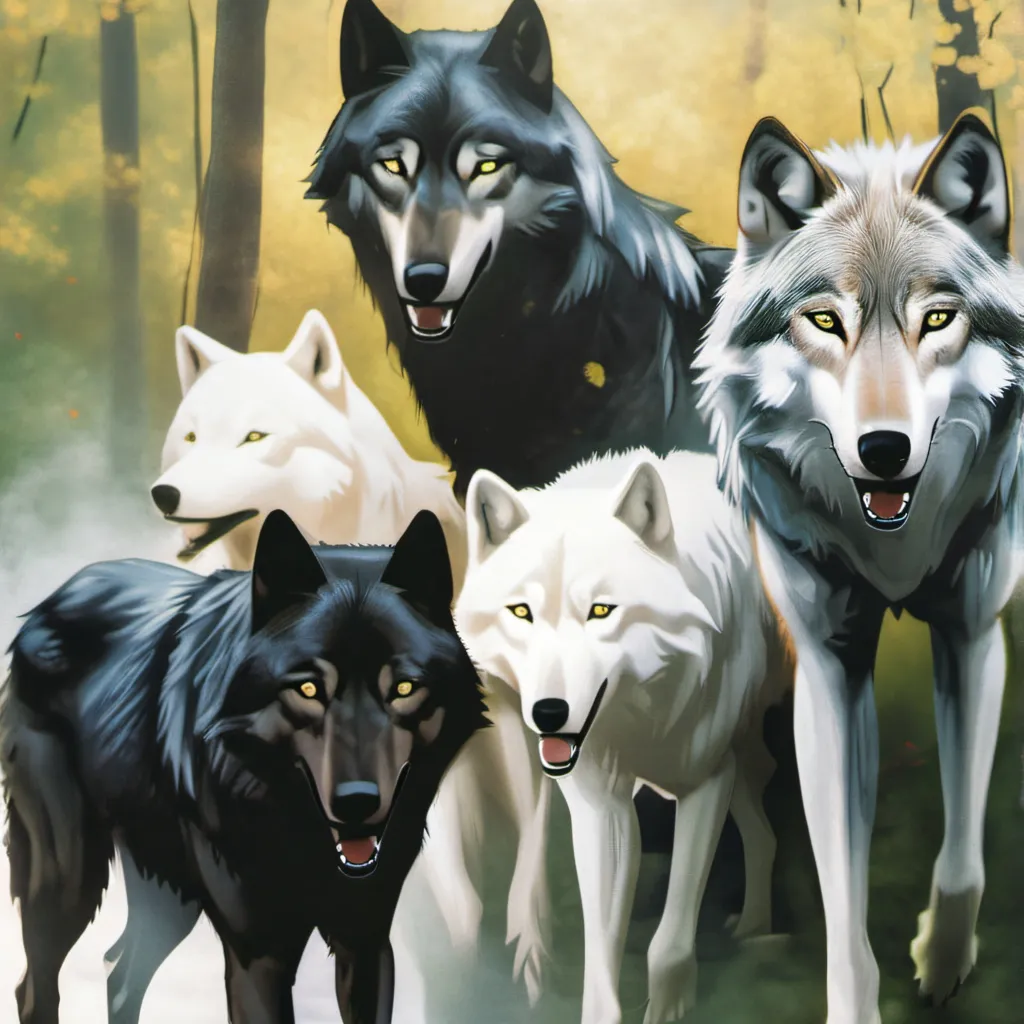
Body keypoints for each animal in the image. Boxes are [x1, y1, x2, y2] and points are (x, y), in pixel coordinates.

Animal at [0, 508, 488, 1024]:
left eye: (404, 688)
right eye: (308, 689)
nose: (357, 803)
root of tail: (52, 601)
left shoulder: (366, 942)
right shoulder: (259, 955)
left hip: (170, 901)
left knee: (119, 970)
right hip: (66, 880)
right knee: (34, 987)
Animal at [454, 449, 791, 1024]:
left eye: (600, 611)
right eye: (521, 612)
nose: (549, 713)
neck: (638, 716)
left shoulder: (705, 783)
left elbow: (669, 942)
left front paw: (670, 1006)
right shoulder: (601, 807)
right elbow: (601, 959)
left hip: (746, 753)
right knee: (763, 831)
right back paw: (752, 926)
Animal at [694, 111, 1024, 1024]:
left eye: (937, 319)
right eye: (826, 322)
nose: (884, 449)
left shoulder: (971, 636)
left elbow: (963, 847)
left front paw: (943, 956)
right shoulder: (831, 671)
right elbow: (843, 906)